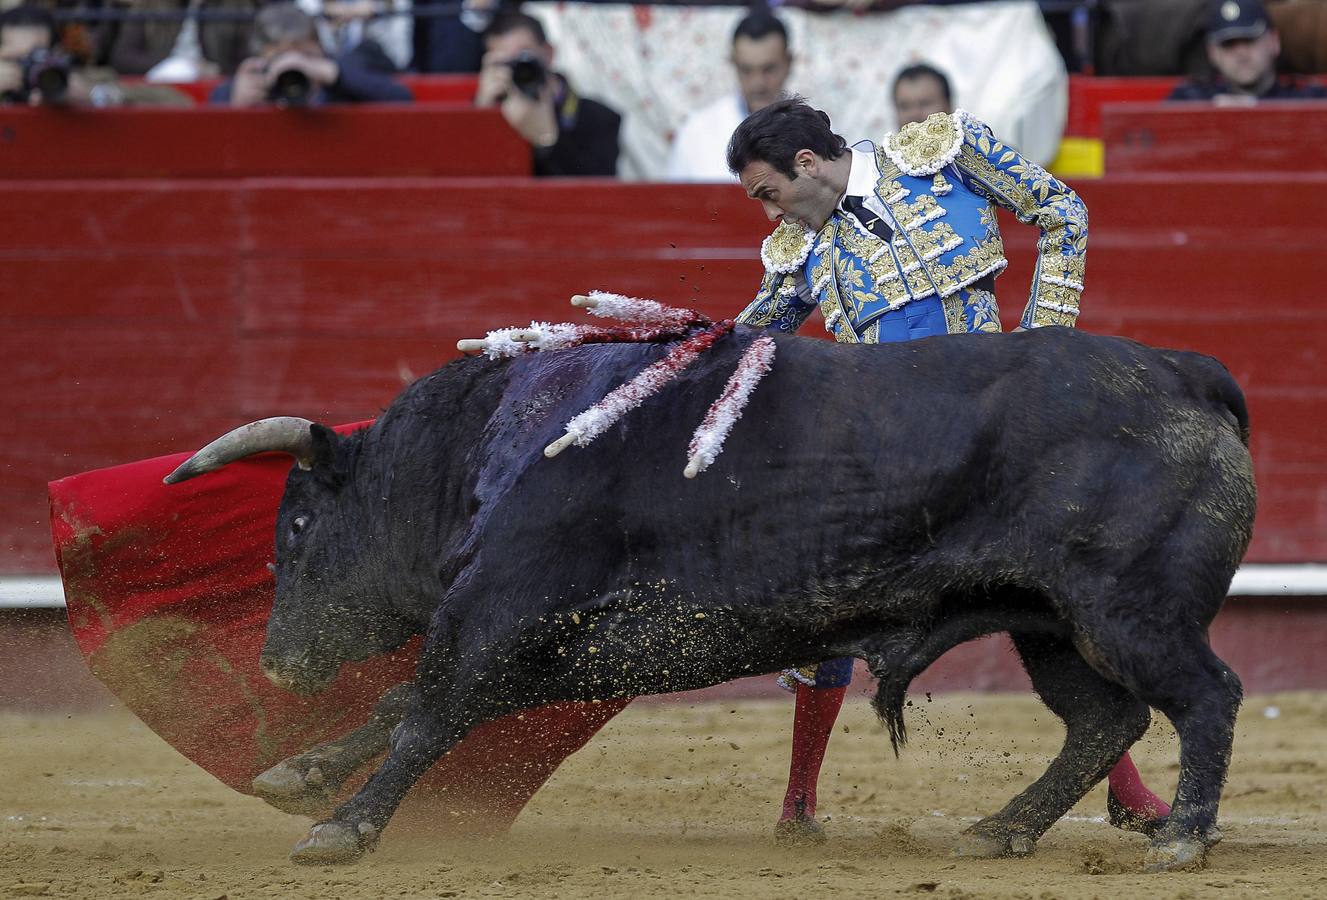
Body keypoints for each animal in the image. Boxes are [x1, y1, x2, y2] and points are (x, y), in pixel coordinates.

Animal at [163, 326, 1252, 876]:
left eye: (297, 526)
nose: (278, 662)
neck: (481, 452)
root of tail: (1185, 375)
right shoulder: (557, 644)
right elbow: (411, 705)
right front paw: (300, 772)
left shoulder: (503, 611)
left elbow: (427, 709)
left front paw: (341, 829)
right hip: (1047, 623)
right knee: (1103, 719)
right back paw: (1002, 829)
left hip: (1126, 611)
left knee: (1207, 694)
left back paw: (1180, 836)